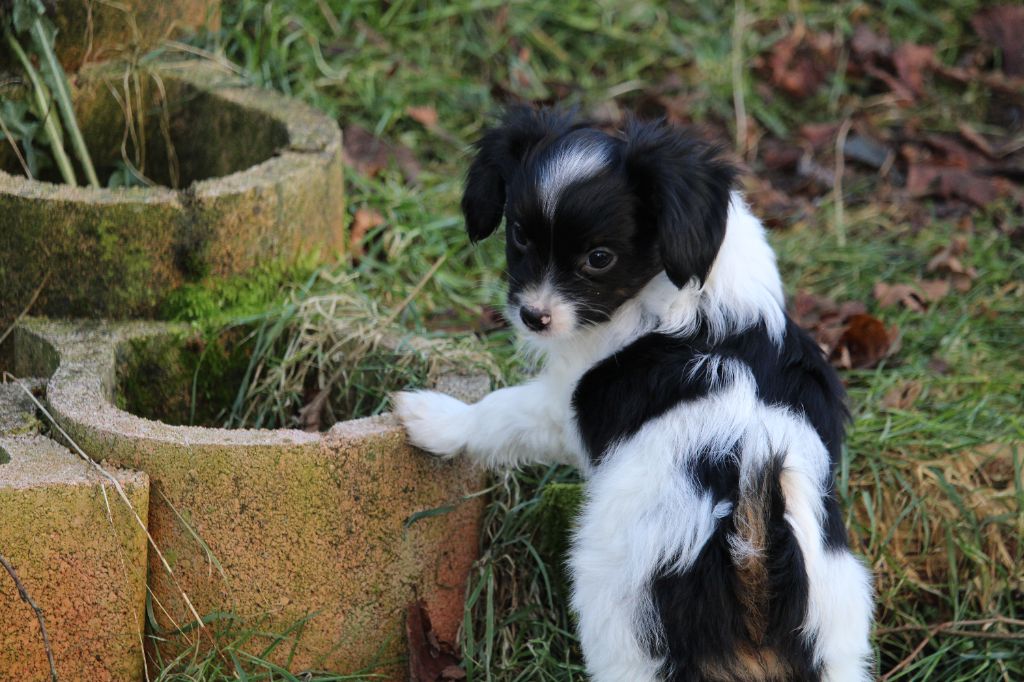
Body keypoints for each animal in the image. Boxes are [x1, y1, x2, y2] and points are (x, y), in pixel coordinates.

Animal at [393, 107, 873, 682]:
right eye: (520, 236)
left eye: (599, 258)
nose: (533, 316)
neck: (691, 290)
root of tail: (755, 559)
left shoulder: (562, 403)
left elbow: (500, 414)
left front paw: (434, 419)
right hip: (838, 646)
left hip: (622, 624)